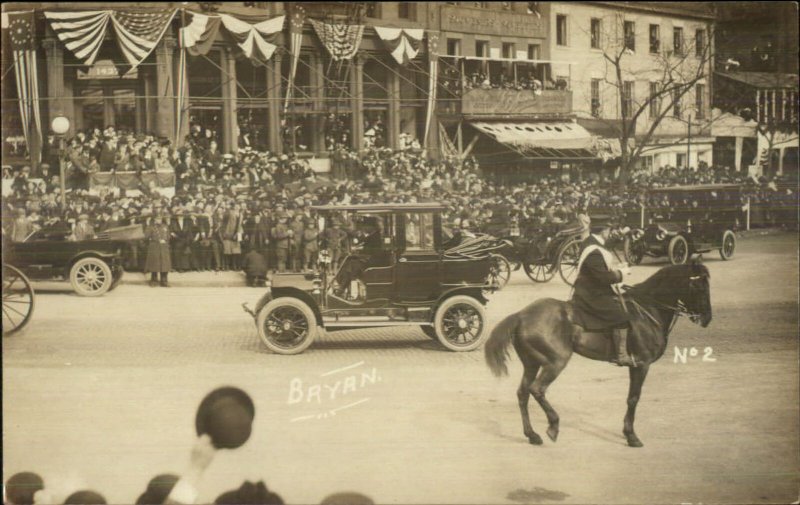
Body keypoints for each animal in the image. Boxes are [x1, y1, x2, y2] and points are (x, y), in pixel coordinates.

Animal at [482, 262, 712, 446]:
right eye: (699, 287)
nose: (707, 318)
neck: (648, 309)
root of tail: (521, 315)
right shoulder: (642, 365)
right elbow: (633, 398)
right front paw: (631, 436)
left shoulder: (635, 366)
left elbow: (630, 397)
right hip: (555, 362)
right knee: (537, 389)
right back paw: (553, 426)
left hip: (532, 364)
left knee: (523, 393)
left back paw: (532, 435)